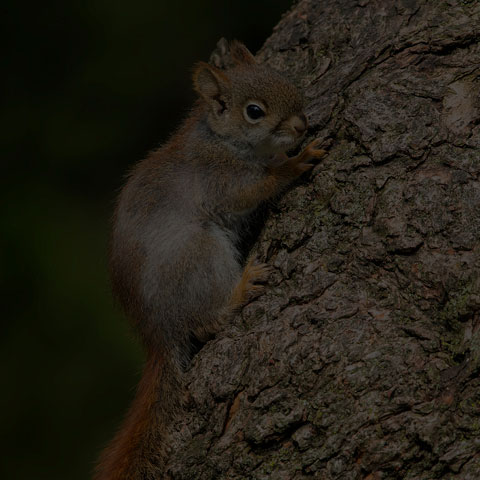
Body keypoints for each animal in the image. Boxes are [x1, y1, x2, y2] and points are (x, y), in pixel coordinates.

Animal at [94, 41, 324, 480]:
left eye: (286, 79)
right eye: (254, 111)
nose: (302, 126)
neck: (223, 141)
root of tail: (158, 331)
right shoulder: (221, 179)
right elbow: (254, 188)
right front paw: (291, 163)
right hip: (199, 254)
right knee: (204, 322)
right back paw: (240, 289)